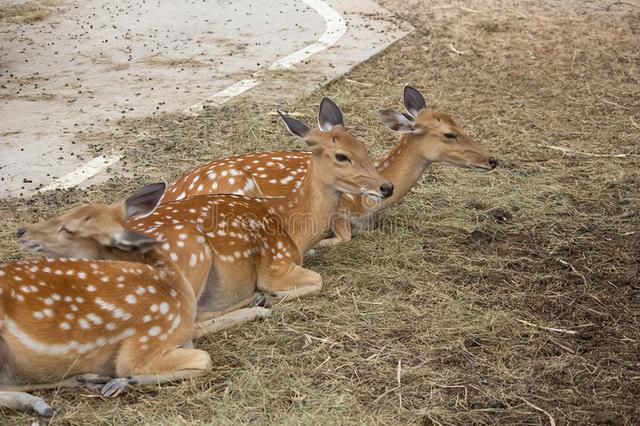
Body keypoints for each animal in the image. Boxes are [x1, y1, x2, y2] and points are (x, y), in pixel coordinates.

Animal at [1, 183, 214, 416]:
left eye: (68, 228)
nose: (22, 230)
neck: (176, 286)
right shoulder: (151, 337)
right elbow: (204, 359)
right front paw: (125, 381)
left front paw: (121, 382)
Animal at [18, 97, 390, 340]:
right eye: (341, 156)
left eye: (364, 146)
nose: (385, 186)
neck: (292, 223)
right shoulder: (276, 265)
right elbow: (316, 281)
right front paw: (267, 295)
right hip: (193, 255)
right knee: (189, 322)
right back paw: (256, 303)